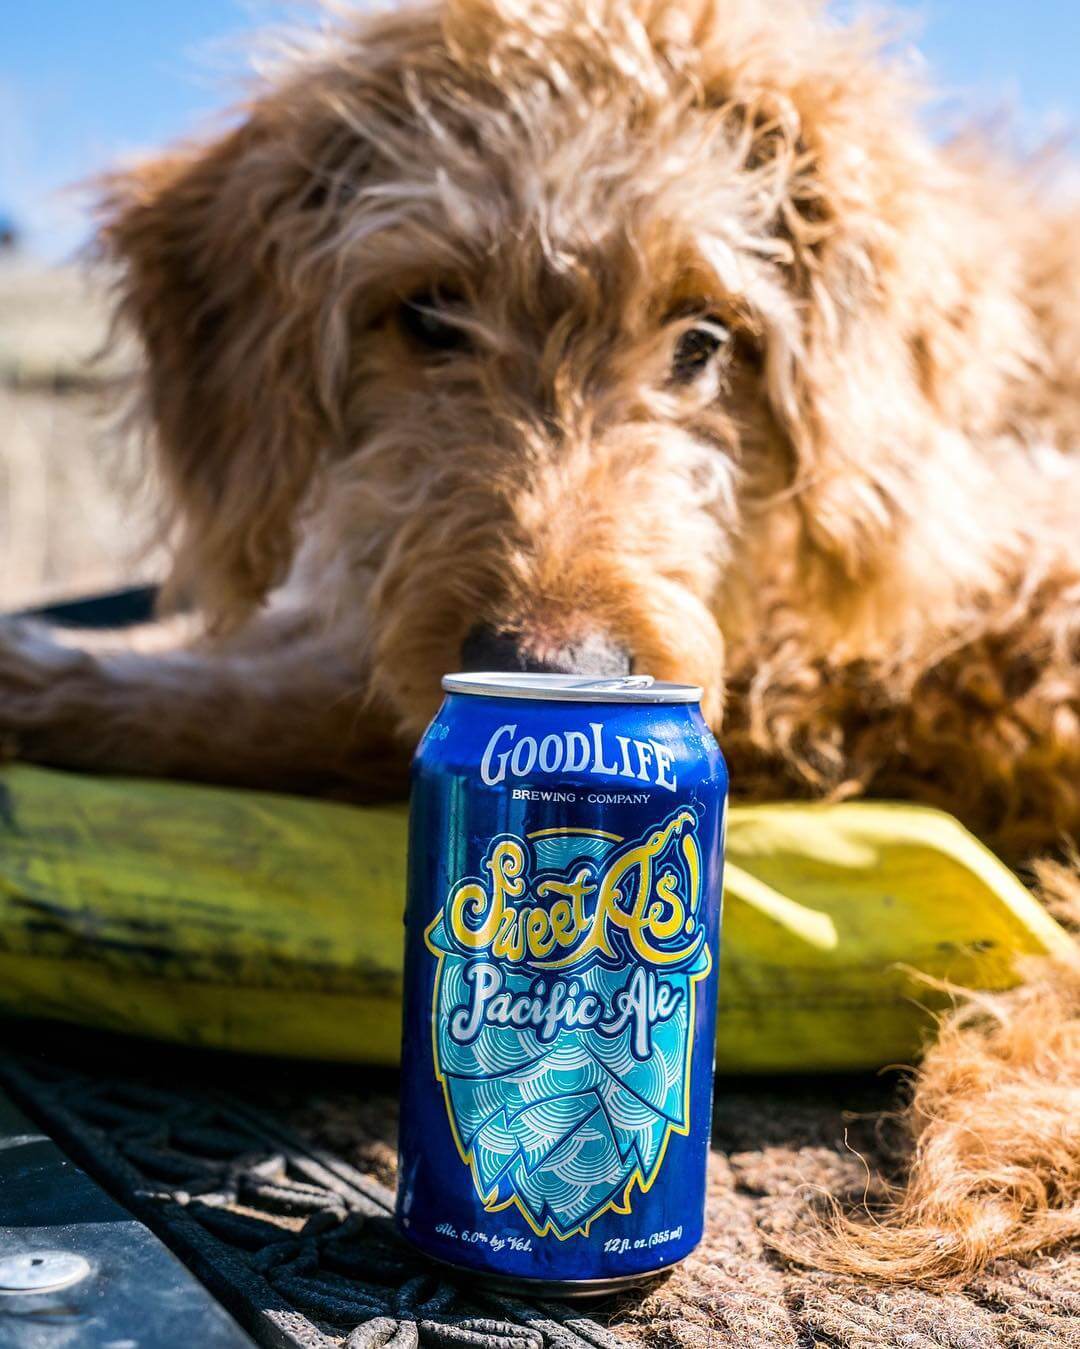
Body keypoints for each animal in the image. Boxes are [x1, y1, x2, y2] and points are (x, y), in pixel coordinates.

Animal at [2, 0, 1078, 1284]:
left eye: (705, 338)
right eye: (427, 314)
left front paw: (54, 678)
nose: (562, 676)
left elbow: (284, 703)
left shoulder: (937, 629)